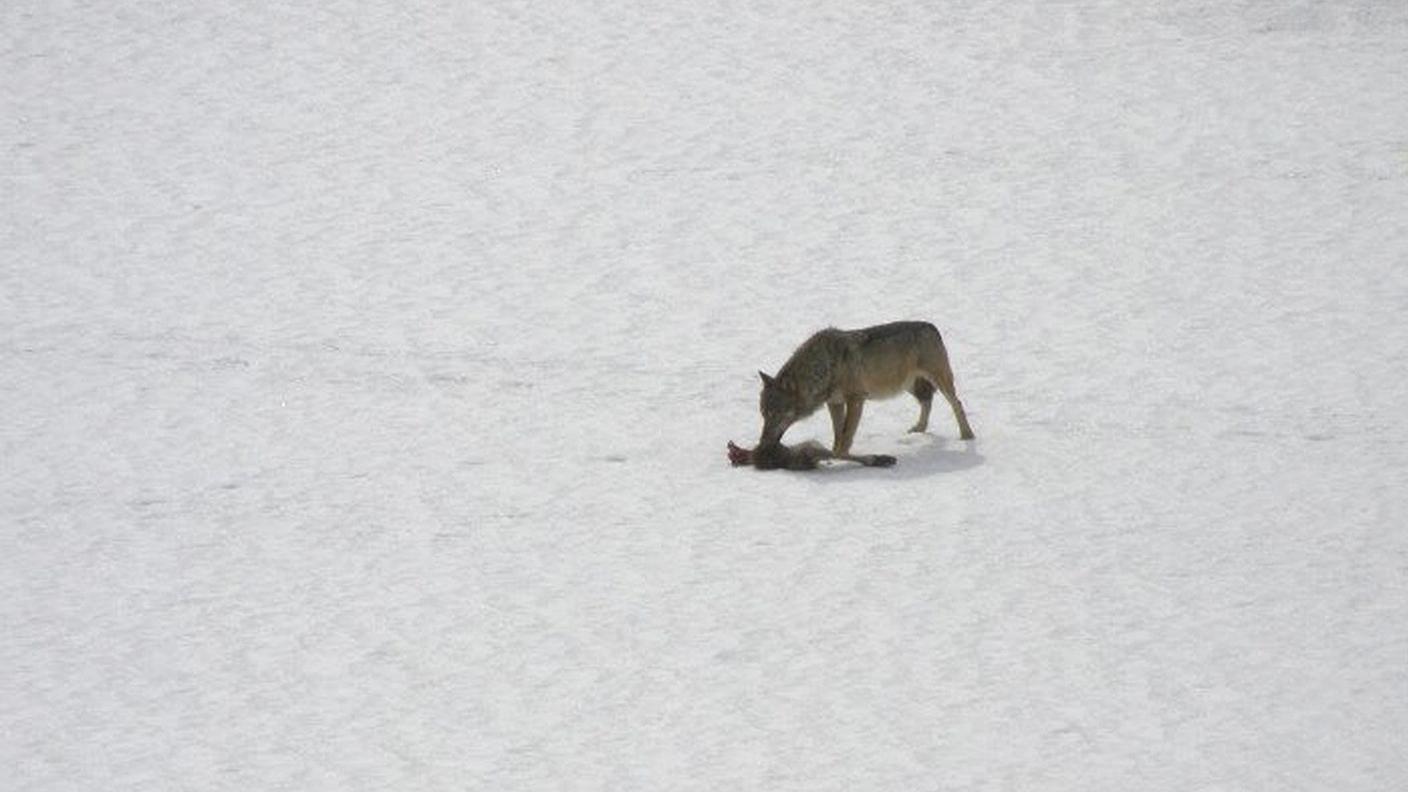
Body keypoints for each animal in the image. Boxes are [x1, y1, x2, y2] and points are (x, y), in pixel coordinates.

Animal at [757, 321, 975, 455]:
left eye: (776, 414)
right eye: (764, 414)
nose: (762, 443)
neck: (826, 366)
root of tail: (932, 327)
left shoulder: (856, 399)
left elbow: (846, 434)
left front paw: (840, 457)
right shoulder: (834, 403)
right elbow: (838, 433)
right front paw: (834, 454)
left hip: (939, 382)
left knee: (957, 403)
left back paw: (967, 435)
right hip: (908, 385)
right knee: (927, 401)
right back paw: (919, 429)